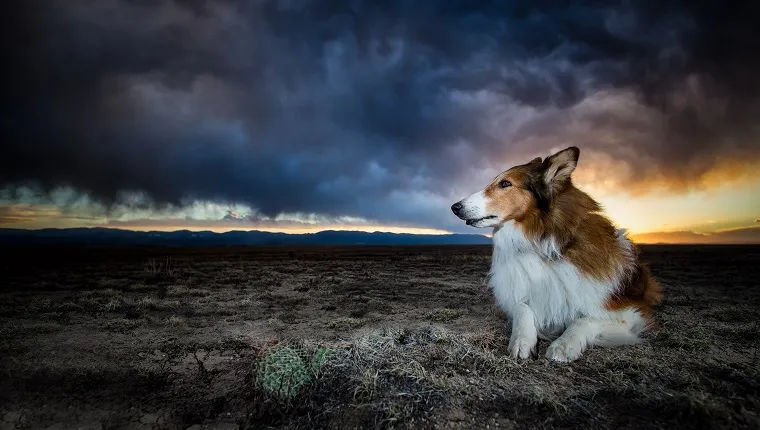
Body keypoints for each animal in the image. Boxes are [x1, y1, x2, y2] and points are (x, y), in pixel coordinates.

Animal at [452, 146, 660, 362]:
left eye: (505, 183)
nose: (454, 207)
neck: (544, 240)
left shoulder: (631, 312)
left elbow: (586, 319)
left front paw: (564, 344)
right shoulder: (518, 294)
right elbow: (522, 307)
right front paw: (521, 340)